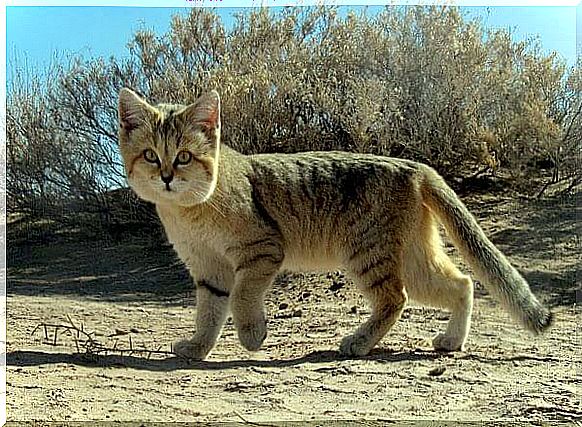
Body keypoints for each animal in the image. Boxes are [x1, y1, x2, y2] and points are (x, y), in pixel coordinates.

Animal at [117, 89, 552, 362]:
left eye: (185, 156)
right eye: (151, 155)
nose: (167, 177)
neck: (188, 210)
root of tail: (416, 166)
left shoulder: (261, 251)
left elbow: (242, 297)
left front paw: (251, 335)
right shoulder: (210, 270)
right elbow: (208, 314)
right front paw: (197, 348)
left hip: (367, 254)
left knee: (396, 298)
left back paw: (358, 343)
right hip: (414, 259)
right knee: (462, 283)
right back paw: (450, 341)